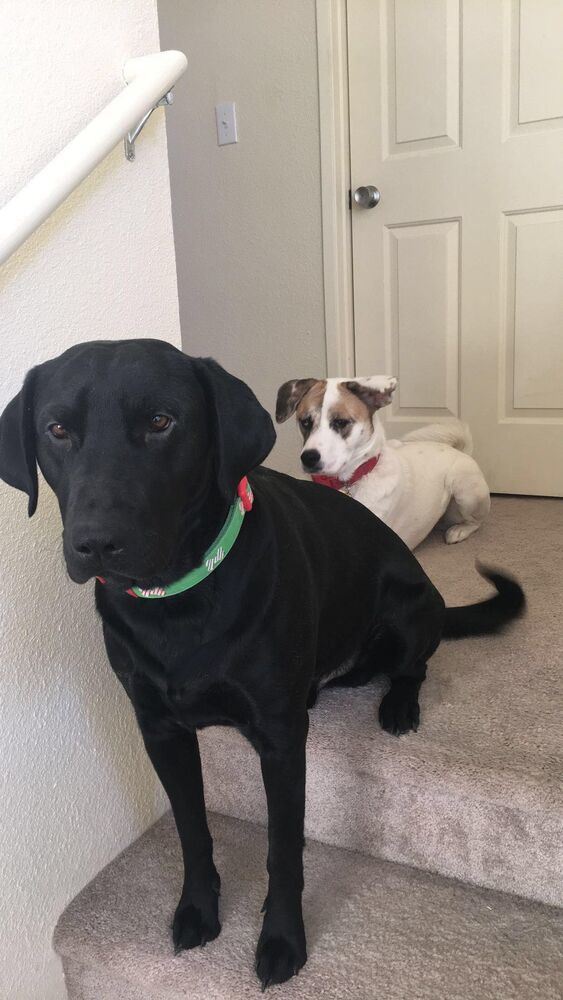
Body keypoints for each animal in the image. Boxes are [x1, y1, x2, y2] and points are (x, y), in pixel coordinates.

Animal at [276, 376, 492, 552]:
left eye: (340, 422)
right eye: (305, 422)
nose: (308, 458)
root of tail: (459, 450)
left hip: (465, 490)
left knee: (476, 521)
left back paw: (459, 531)